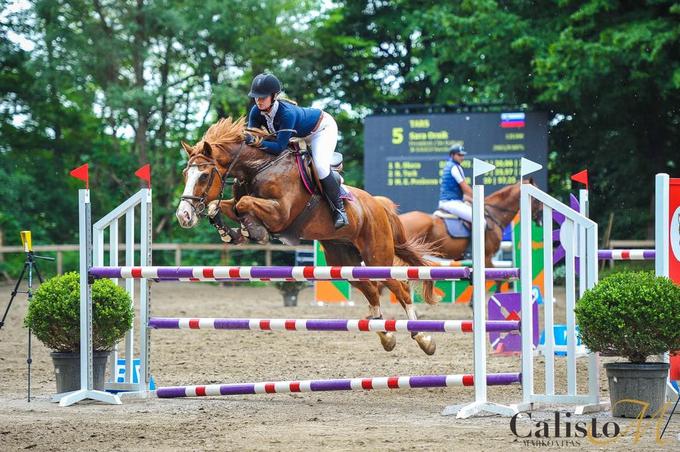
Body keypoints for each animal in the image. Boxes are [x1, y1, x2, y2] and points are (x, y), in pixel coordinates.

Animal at [174, 118, 440, 354]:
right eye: (186, 175)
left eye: (204, 176)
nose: (183, 216)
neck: (257, 167)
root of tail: (377, 204)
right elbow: (227, 205)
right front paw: (231, 231)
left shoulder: (281, 213)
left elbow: (244, 204)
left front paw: (253, 231)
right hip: (343, 260)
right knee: (371, 289)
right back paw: (386, 336)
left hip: (377, 257)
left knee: (401, 288)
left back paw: (424, 338)